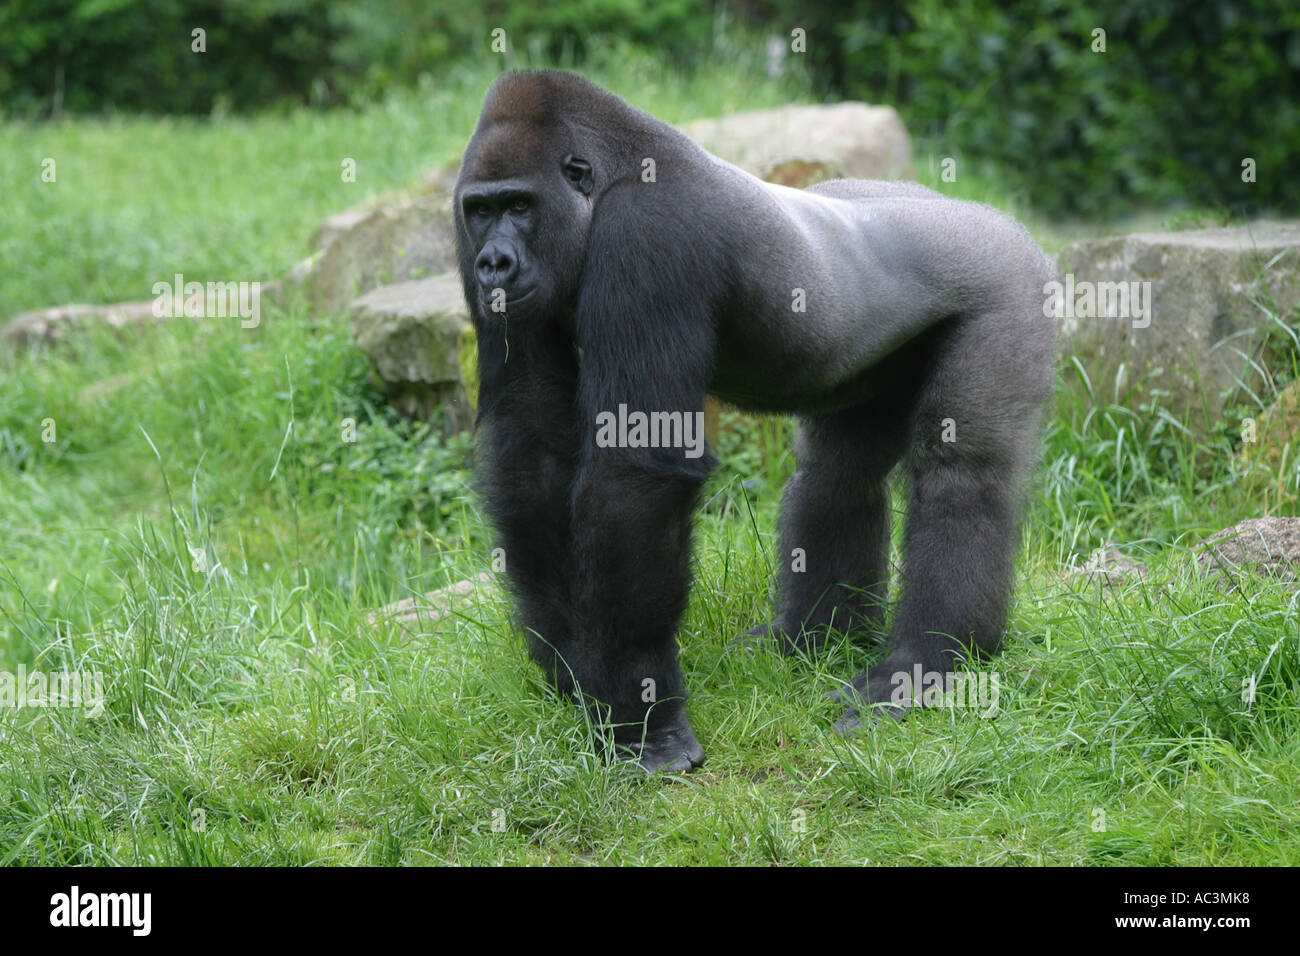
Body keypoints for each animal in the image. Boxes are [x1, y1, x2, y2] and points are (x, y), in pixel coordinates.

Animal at [457, 70, 1055, 775]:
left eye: (520, 206)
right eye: (481, 211)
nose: (494, 263)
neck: (606, 179)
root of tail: (1001, 220)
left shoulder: (649, 230)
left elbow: (635, 473)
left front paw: (642, 719)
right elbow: (529, 448)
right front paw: (571, 669)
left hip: (1011, 284)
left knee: (963, 477)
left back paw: (926, 666)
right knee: (838, 474)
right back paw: (813, 636)